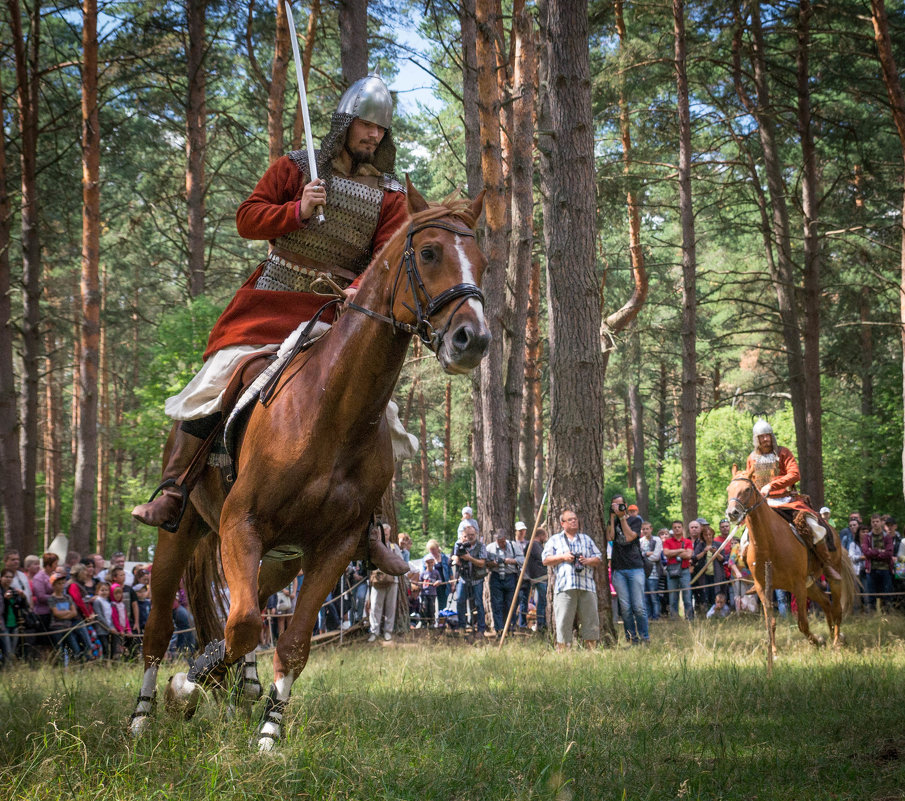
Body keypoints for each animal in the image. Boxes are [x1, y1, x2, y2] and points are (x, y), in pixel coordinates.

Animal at [127, 183, 488, 752]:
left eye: (483, 261)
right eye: (429, 253)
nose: (472, 340)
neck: (330, 411)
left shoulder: (333, 548)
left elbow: (288, 640)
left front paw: (268, 731)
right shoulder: (241, 524)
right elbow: (241, 626)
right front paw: (187, 687)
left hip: (283, 559)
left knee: (251, 607)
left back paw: (240, 686)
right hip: (180, 535)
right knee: (161, 626)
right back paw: (143, 716)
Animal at [728, 468, 856, 648]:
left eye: (747, 489)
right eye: (728, 490)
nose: (732, 513)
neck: (769, 543)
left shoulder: (798, 585)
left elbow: (802, 623)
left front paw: (817, 640)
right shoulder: (763, 587)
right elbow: (770, 622)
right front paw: (774, 651)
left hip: (830, 576)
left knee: (836, 608)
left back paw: (837, 641)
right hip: (809, 584)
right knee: (826, 602)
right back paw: (832, 636)